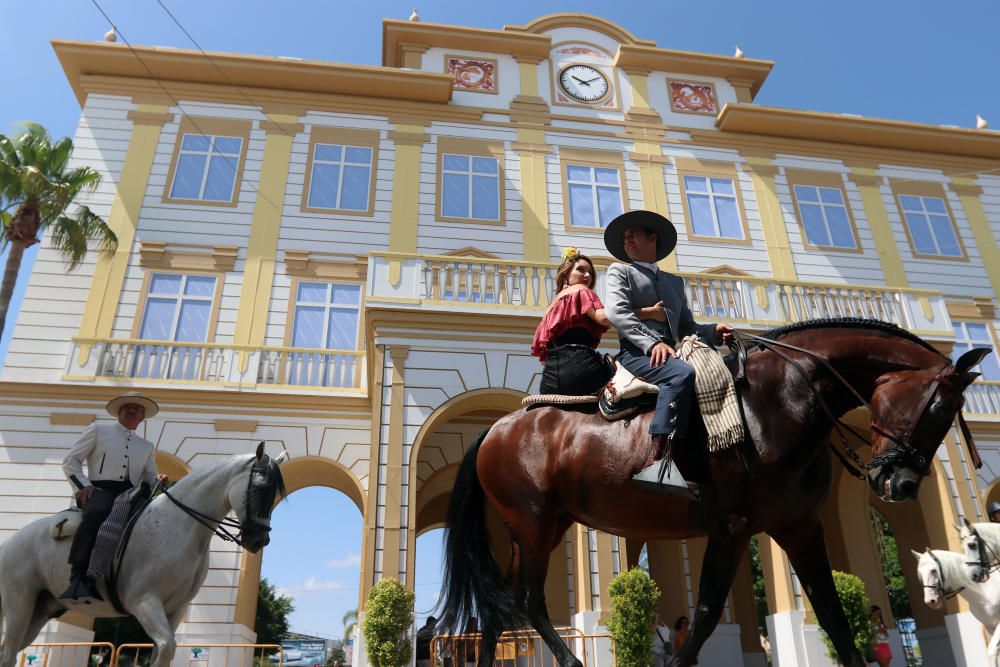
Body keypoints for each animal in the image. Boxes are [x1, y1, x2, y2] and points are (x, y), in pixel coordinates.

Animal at [0, 444, 290, 667]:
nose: (259, 540)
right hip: (20, 604)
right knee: (8, 652)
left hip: (41, 609)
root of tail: (10, 541)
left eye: (275, 493)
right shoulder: (144, 601)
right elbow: (167, 647)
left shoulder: (175, 609)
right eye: (259, 488)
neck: (181, 525)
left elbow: (162, 653)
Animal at [440, 318, 992, 667]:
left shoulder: (798, 527)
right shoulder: (730, 527)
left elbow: (833, 615)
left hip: (540, 528)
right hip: (535, 525)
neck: (781, 400)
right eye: (940, 408)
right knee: (526, 599)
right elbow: (705, 614)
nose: (898, 482)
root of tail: (494, 428)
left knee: (498, 606)